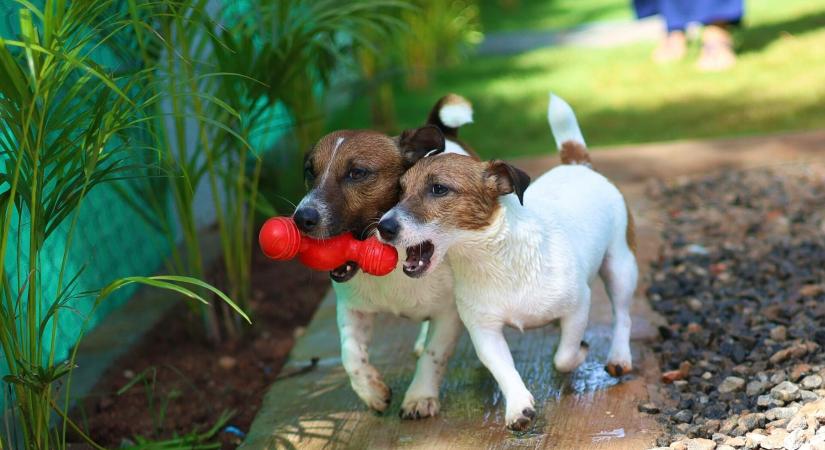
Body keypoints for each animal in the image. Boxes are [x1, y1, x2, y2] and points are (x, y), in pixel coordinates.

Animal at [294, 94, 476, 418]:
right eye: (309, 171)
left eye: (357, 173)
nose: (301, 218)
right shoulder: (351, 309)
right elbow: (350, 354)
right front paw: (370, 391)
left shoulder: (448, 314)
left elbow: (434, 356)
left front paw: (419, 396)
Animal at [374, 93, 636, 430]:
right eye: (400, 190)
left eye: (439, 189)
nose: (383, 227)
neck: (493, 259)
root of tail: (577, 164)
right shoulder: (484, 330)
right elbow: (503, 368)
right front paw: (518, 406)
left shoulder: (578, 307)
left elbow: (564, 358)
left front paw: (579, 351)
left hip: (620, 267)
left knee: (623, 315)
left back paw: (619, 356)